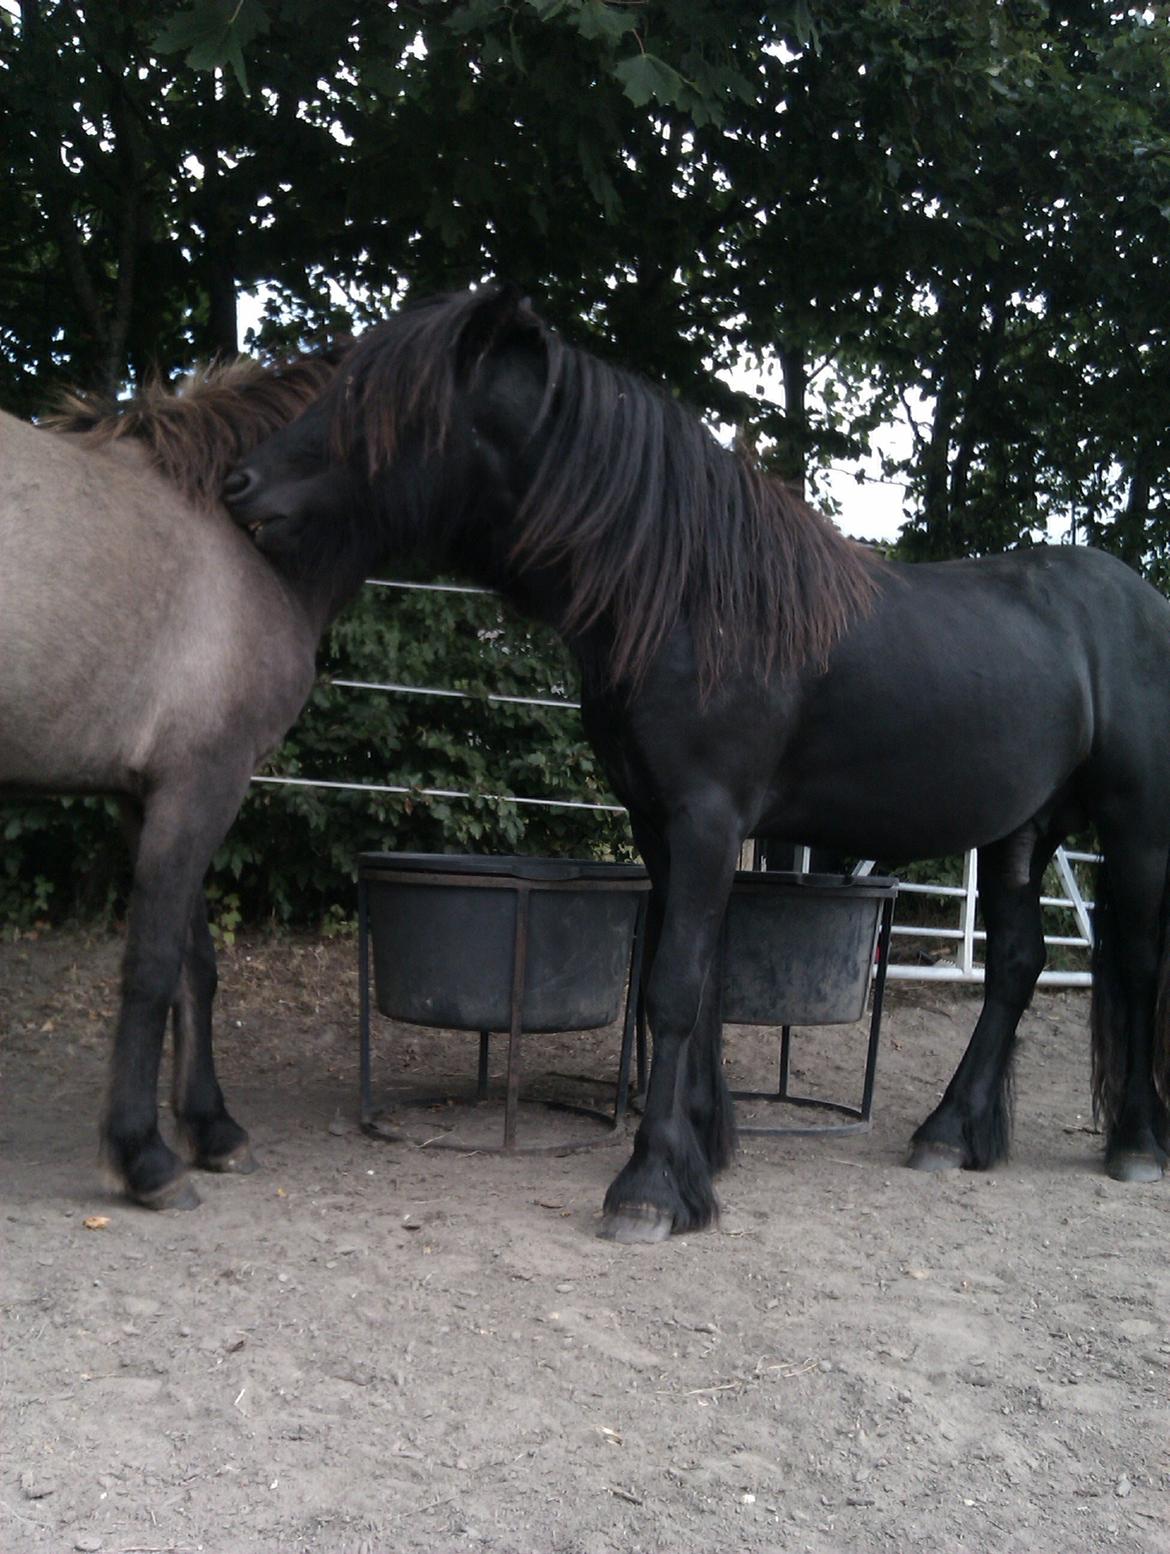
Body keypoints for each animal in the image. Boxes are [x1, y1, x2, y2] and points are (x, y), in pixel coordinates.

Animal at [0, 350, 350, 1209]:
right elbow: (154, 963)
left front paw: (211, 1129)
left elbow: (197, 967)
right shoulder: (203, 783)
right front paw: (143, 1156)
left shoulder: (148, 793)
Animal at [224, 283, 1170, 1242]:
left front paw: (647, 1185)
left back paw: (1134, 1145)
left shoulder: (708, 818)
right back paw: (950, 1131)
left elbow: (675, 990)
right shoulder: (658, 824)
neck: (689, 598)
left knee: (1136, 965)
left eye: (372, 401)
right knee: (1016, 962)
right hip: (1024, 829)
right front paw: (698, 1154)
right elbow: (700, 990)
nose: (238, 483)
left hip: (1135, 829)